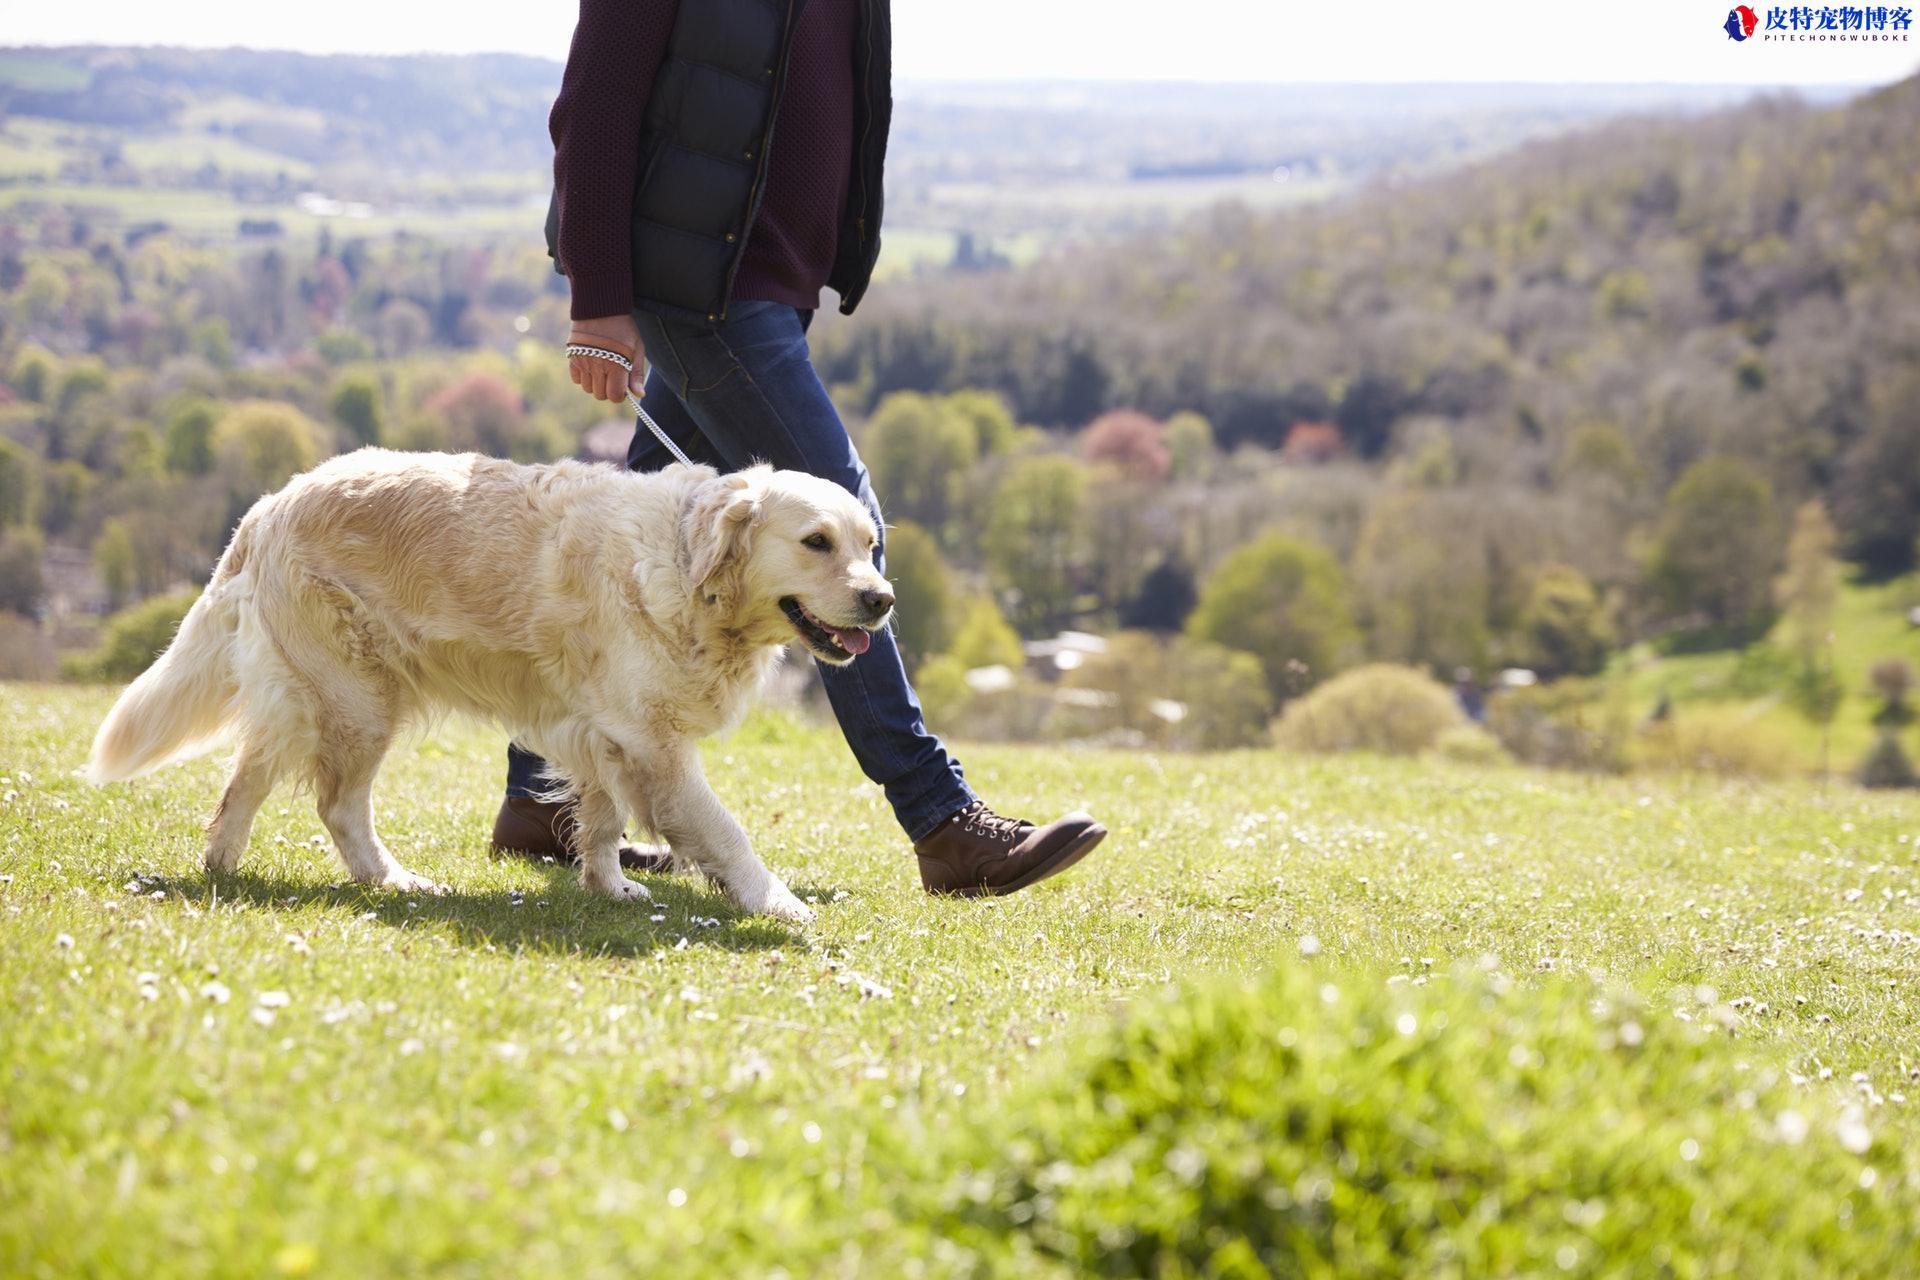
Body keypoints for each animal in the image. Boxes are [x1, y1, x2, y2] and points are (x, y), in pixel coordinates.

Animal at [84, 445, 898, 924]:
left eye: (869, 544)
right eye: (816, 542)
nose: (882, 600)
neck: (686, 568)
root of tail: (269, 505)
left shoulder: (605, 731)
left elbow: (603, 819)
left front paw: (608, 886)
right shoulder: (653, 741)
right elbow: (724, 830)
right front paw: (778, 902)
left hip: (319, 696)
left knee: (249, 782)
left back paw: (237, 867)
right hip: (355, 699)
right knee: (327, 802)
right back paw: (373, 878)